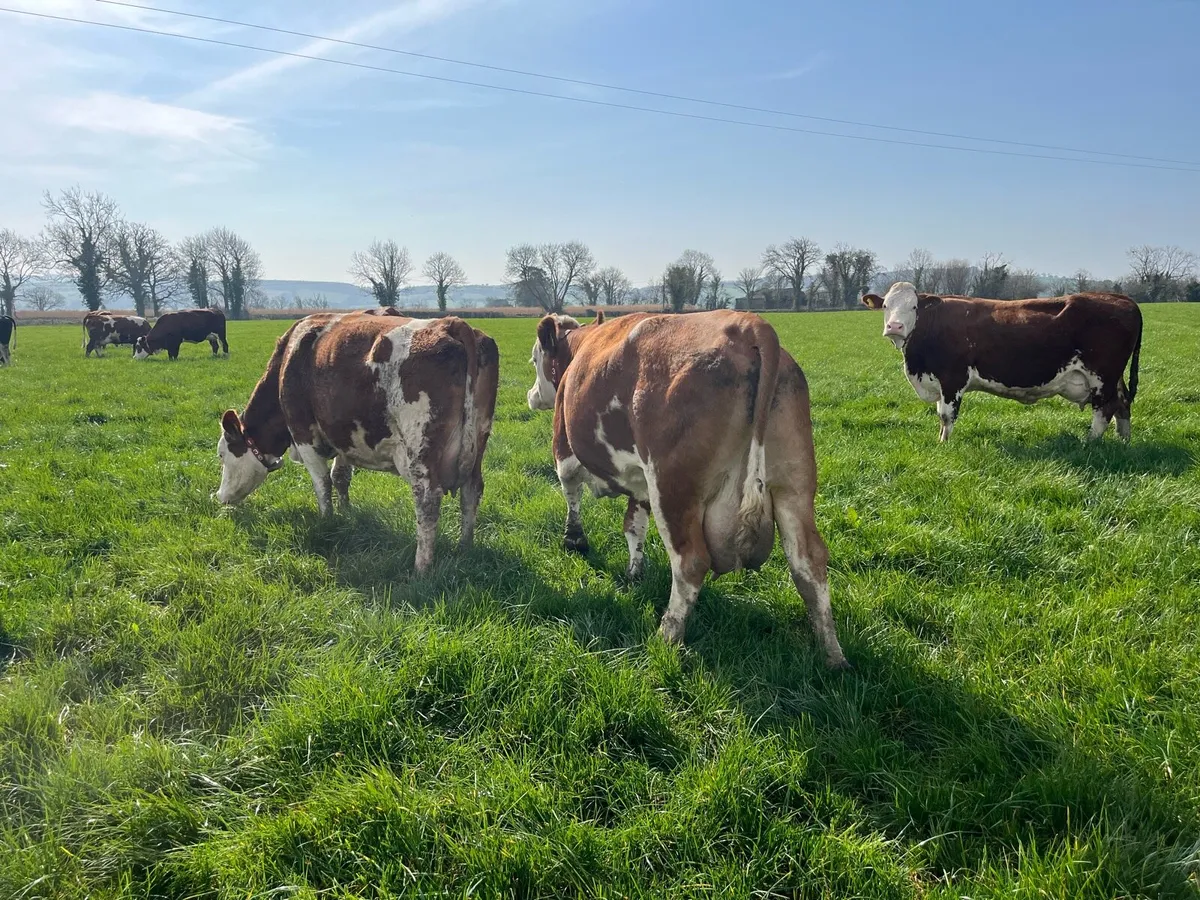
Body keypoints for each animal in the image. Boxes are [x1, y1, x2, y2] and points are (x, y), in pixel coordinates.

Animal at [216, 311, 499, 575]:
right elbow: (340, 476)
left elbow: (322, 483)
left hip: (420, 451)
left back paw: (421, 568)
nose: (219, 496)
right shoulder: (344, 437)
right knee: (471, 491)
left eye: (221, 454)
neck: (290, 356)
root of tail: (451, 323)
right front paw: (347, 513)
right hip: (478, 443)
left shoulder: (302, 433)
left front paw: (327, 521)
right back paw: (465, 547)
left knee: (427, 501)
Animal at [526, 309, 849, 669]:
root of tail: (749, 324)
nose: (531, 396)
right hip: (794, 485)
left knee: (690, 562)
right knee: (809, 562)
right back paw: (833, 655)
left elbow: (572, 494)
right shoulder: (641, 482)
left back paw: (666, 637)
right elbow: (634, 525)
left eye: (535, 359)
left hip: (673, 488)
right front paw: (635, 572)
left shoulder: (564, 449)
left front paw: (575, 541)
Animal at [861, 282, 1143, 442]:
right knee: (1123, 404)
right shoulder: (939, 381)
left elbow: (946, 415)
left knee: (1105, 410)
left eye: (914, 307)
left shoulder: (953, 378)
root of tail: (1121, 298)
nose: (894, 327)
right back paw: (1124, 441)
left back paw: (1090, 442)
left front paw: (944, 444)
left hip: (1102, 376)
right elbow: (941, 414)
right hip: (1114, 377)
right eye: (885, 306)